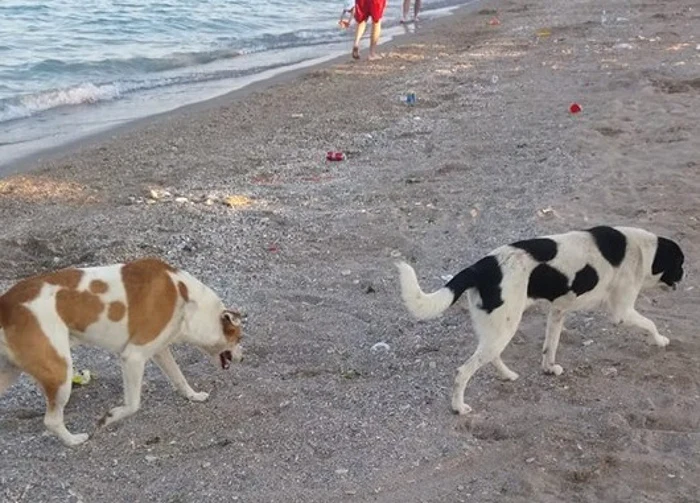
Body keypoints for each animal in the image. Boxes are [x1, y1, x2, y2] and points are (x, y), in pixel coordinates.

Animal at [0, 258, 242, 446]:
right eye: (239, 339)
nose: (243, 357)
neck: (184, 296)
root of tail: (5, 305)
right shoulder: (133, 357)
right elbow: (133, 405)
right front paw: (110, 417)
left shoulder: (160, 351)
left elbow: (179, 378)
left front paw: (193, 396)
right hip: (59, 372)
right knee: (51, 420)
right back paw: (74, 440)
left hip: (10, 374)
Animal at [396, 226, 688, 416]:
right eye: (680, 263)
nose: (684, 276)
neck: (642, 250)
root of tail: (481, 266)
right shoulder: (622, 312)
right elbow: (650, 323)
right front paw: (660, 340)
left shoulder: (558, 311)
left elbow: (551, 344)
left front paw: (549, 368)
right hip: (505, 326)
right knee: (463, 371)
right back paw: (459, 407)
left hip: (496, 327)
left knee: (490, 356)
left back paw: (508, 375)